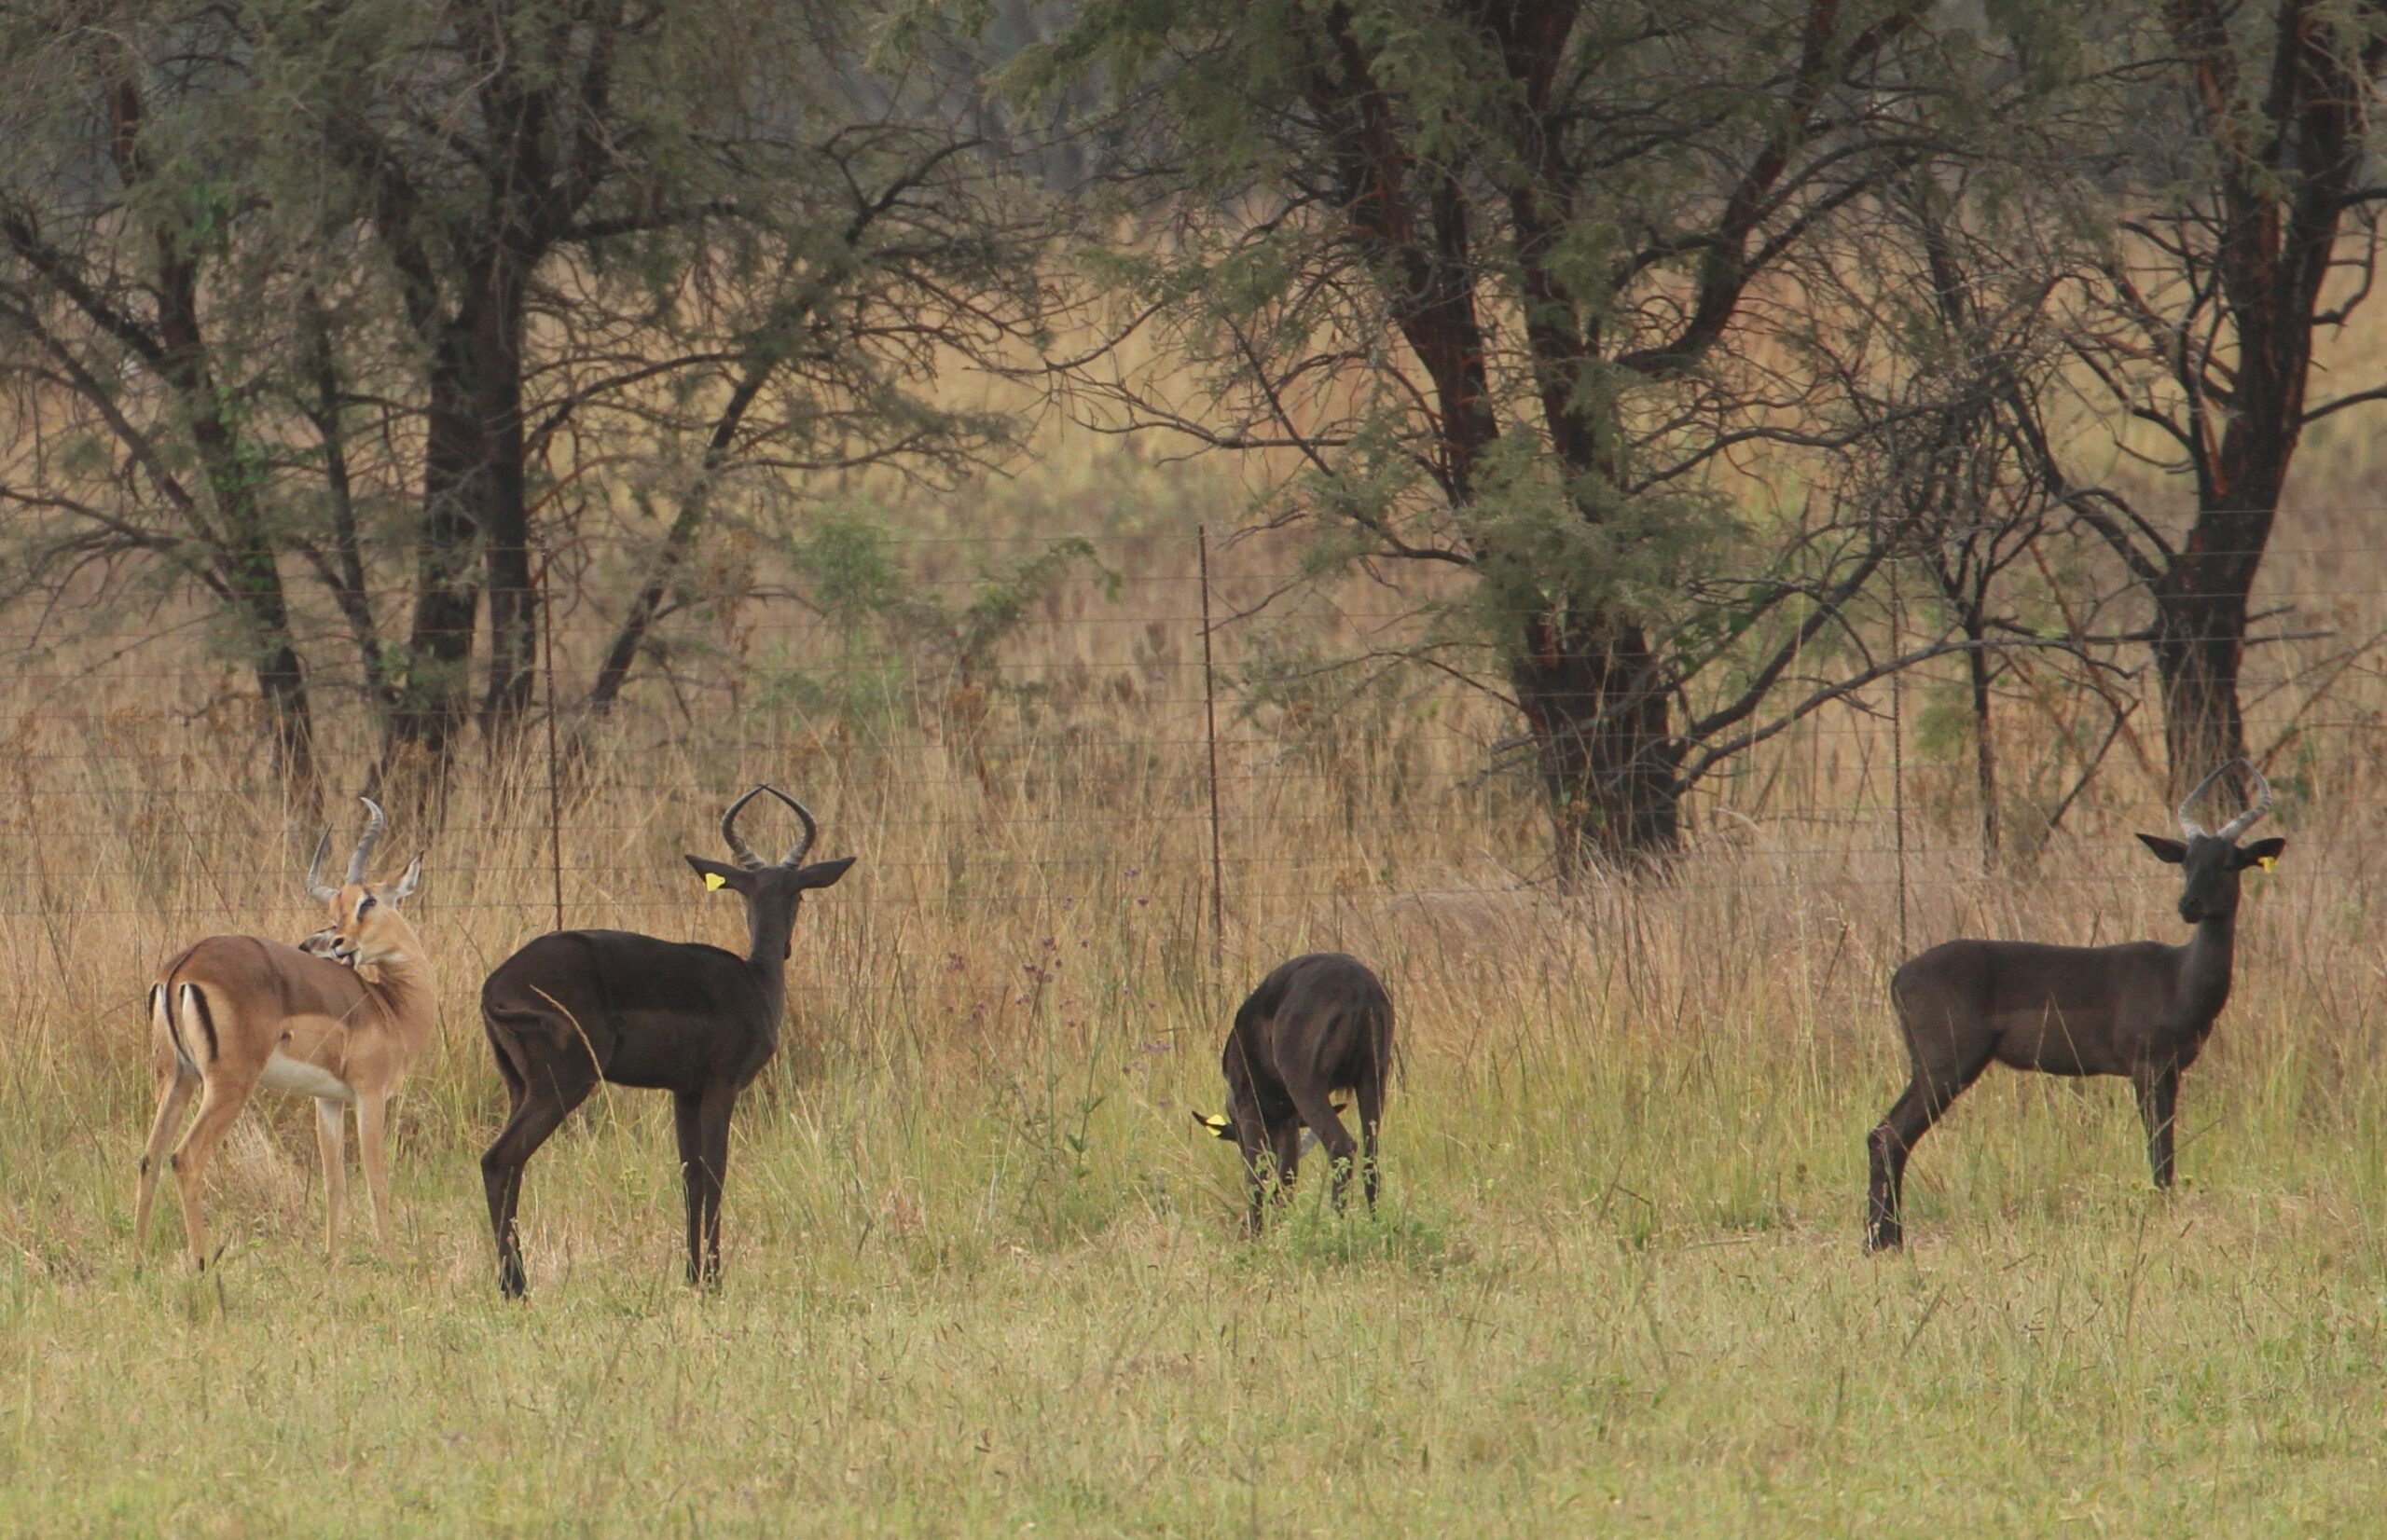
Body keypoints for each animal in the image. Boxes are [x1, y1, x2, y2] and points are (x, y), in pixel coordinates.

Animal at [136, 798, 435, 1267]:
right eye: (338, 910)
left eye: (367, 902)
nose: (339, 945)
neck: (391, 1006)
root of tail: (181, 967)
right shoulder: (369, 1095)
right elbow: (376, 1178)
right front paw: (390, 1257)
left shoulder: (328, 1100)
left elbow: (334, 1182)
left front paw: (332, 1259)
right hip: (227, 1086)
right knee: (184, 1157)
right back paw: (202, 1262)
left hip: (176, 1077)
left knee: (150, 1157)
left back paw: (137, 1262)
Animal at [477, 786, 854, 1297]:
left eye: (792, 892)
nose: (787, 947)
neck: (755, 982)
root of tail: (495, 988)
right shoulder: (721, 1085)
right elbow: (715, 1171)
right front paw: (713, 1280)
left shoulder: (684, 1091)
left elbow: (689, 1173)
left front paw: (692, 1275)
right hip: (562, 1086)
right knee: (499, 1159)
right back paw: (516, 1287)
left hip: (519, 1086)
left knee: (512, 1166)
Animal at [1196, 952, 1393, 1232]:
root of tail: (1360, 985)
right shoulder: (1288, 1123)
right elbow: (1286, 1178)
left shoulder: (1250, 1110)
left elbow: (1257, 1177)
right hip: (1372, 1080)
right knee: (1370, 1157)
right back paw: (1374, 1225)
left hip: (1307, 1086)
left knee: (1342, 1146)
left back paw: (1334, 1225)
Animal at [1865, 761, 2286, 1251]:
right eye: (2186, 862)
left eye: (2227, 862)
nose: (2189, 905)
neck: (2179, 978)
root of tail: (1899, 974)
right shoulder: (2146, 1066)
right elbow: (2158, 1150)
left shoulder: (2172, 1070)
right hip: (1945, 1066)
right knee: (1889, 1134)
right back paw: (1883, 1241)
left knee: (1885, 1135)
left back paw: (1884, 1240)